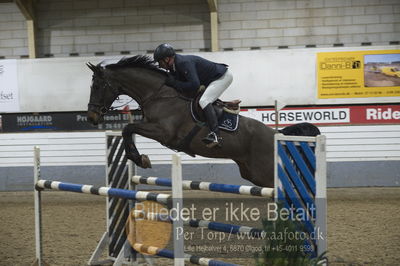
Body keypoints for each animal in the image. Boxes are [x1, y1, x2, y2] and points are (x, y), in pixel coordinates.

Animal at [87, 54, 318, 187]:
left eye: (97, 86)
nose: (91, 117)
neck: (159, 94)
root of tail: (277, 133)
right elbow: (128, 129)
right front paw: (139, 158)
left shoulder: (163, 132)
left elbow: (128, 128)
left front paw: (139, 158)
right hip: (253, 173)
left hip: (264, 171)